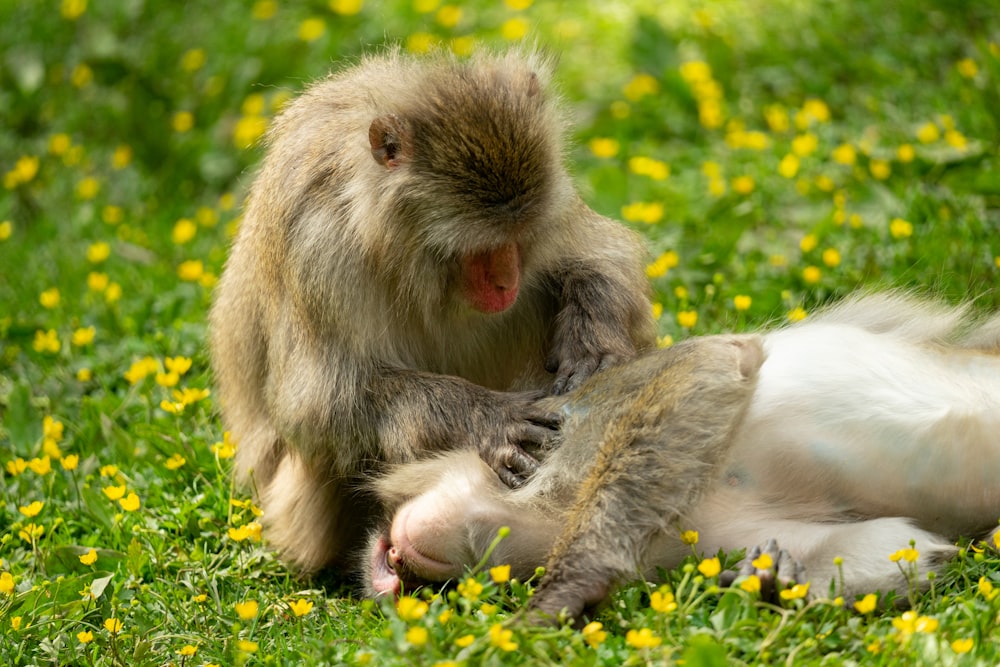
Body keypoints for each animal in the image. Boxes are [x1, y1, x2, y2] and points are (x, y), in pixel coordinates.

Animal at [207, 48, 652, 576]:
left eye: (519, 238)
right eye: (480, 250)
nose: (506, 282)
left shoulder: (553, 203)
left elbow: (601, 257)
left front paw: (594, 341)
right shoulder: (318, 243)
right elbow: (319, 403)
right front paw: (485, 419)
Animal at [368, 294, 1000, 624]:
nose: (394, 567)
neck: (543, 511)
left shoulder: (575, 424)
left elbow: (710, 365)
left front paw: (566, 589)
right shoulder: (697, 542)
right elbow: (907, 547)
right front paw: (771, 581)